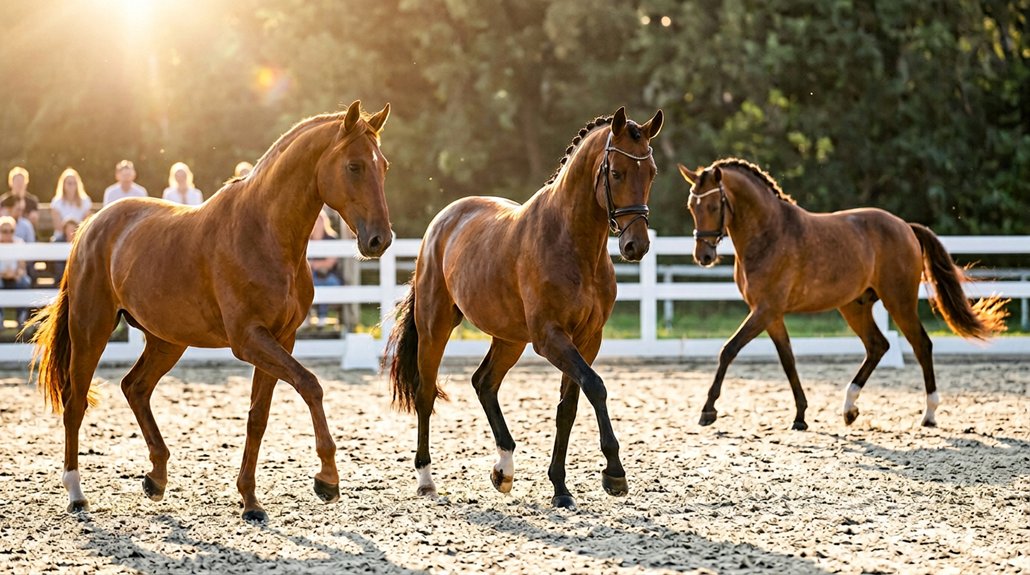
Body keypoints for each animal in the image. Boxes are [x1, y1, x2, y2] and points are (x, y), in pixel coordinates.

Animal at [25, 100, 393, 522]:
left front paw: (250, 500)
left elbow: (258, 417)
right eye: (353, 166)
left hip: (167, 341)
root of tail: (90, 226)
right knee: (76, 403)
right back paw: (76, 493)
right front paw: (327, 479)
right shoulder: (248, 340)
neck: (264, 234)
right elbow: (310, 385)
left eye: (383, 166)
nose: (380, 240)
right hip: (92, 329)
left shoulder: (281, 339)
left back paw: (156, 478)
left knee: (135, 388)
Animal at [385, 107, 663, 508]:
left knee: (484, 383)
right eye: (616, 173)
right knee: (425, 394)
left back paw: (503, 469)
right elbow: (596, 387)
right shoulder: (550, 338)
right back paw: (426, 480)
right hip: (435, 327)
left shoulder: (587, 340)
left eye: (651, 172)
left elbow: (568, 408)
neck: (573, 243)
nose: (635, 246)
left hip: (509, 338)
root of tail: (445, 219)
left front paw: (560, 488)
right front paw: (614, 473)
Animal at [677, 158, 1007, 430]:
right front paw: (800, 416)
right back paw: (849, 408)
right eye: (691, 207)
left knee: (921, 345)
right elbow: (788, 360)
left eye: (713, 206)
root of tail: (905, 226)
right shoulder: (770, 314)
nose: (703, 256)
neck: (769, 234)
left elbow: (729, 350)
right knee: (878, 346)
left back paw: (929, 414)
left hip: (899, 302)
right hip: (854, 306)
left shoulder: (764, 310)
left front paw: (708, 411)